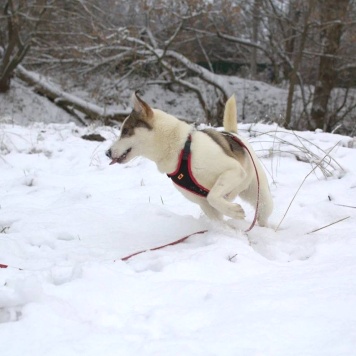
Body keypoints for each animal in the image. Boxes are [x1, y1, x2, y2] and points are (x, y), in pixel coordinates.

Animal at [105, 92, 272, 228]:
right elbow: (213, 206)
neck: (181, 150)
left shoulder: (234, 170)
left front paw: (234, 211)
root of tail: (232, 133)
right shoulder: (203, 203)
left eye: (125, 131)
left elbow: (213, 195)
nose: (107, 152)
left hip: (259, 194)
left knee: (262, 210)